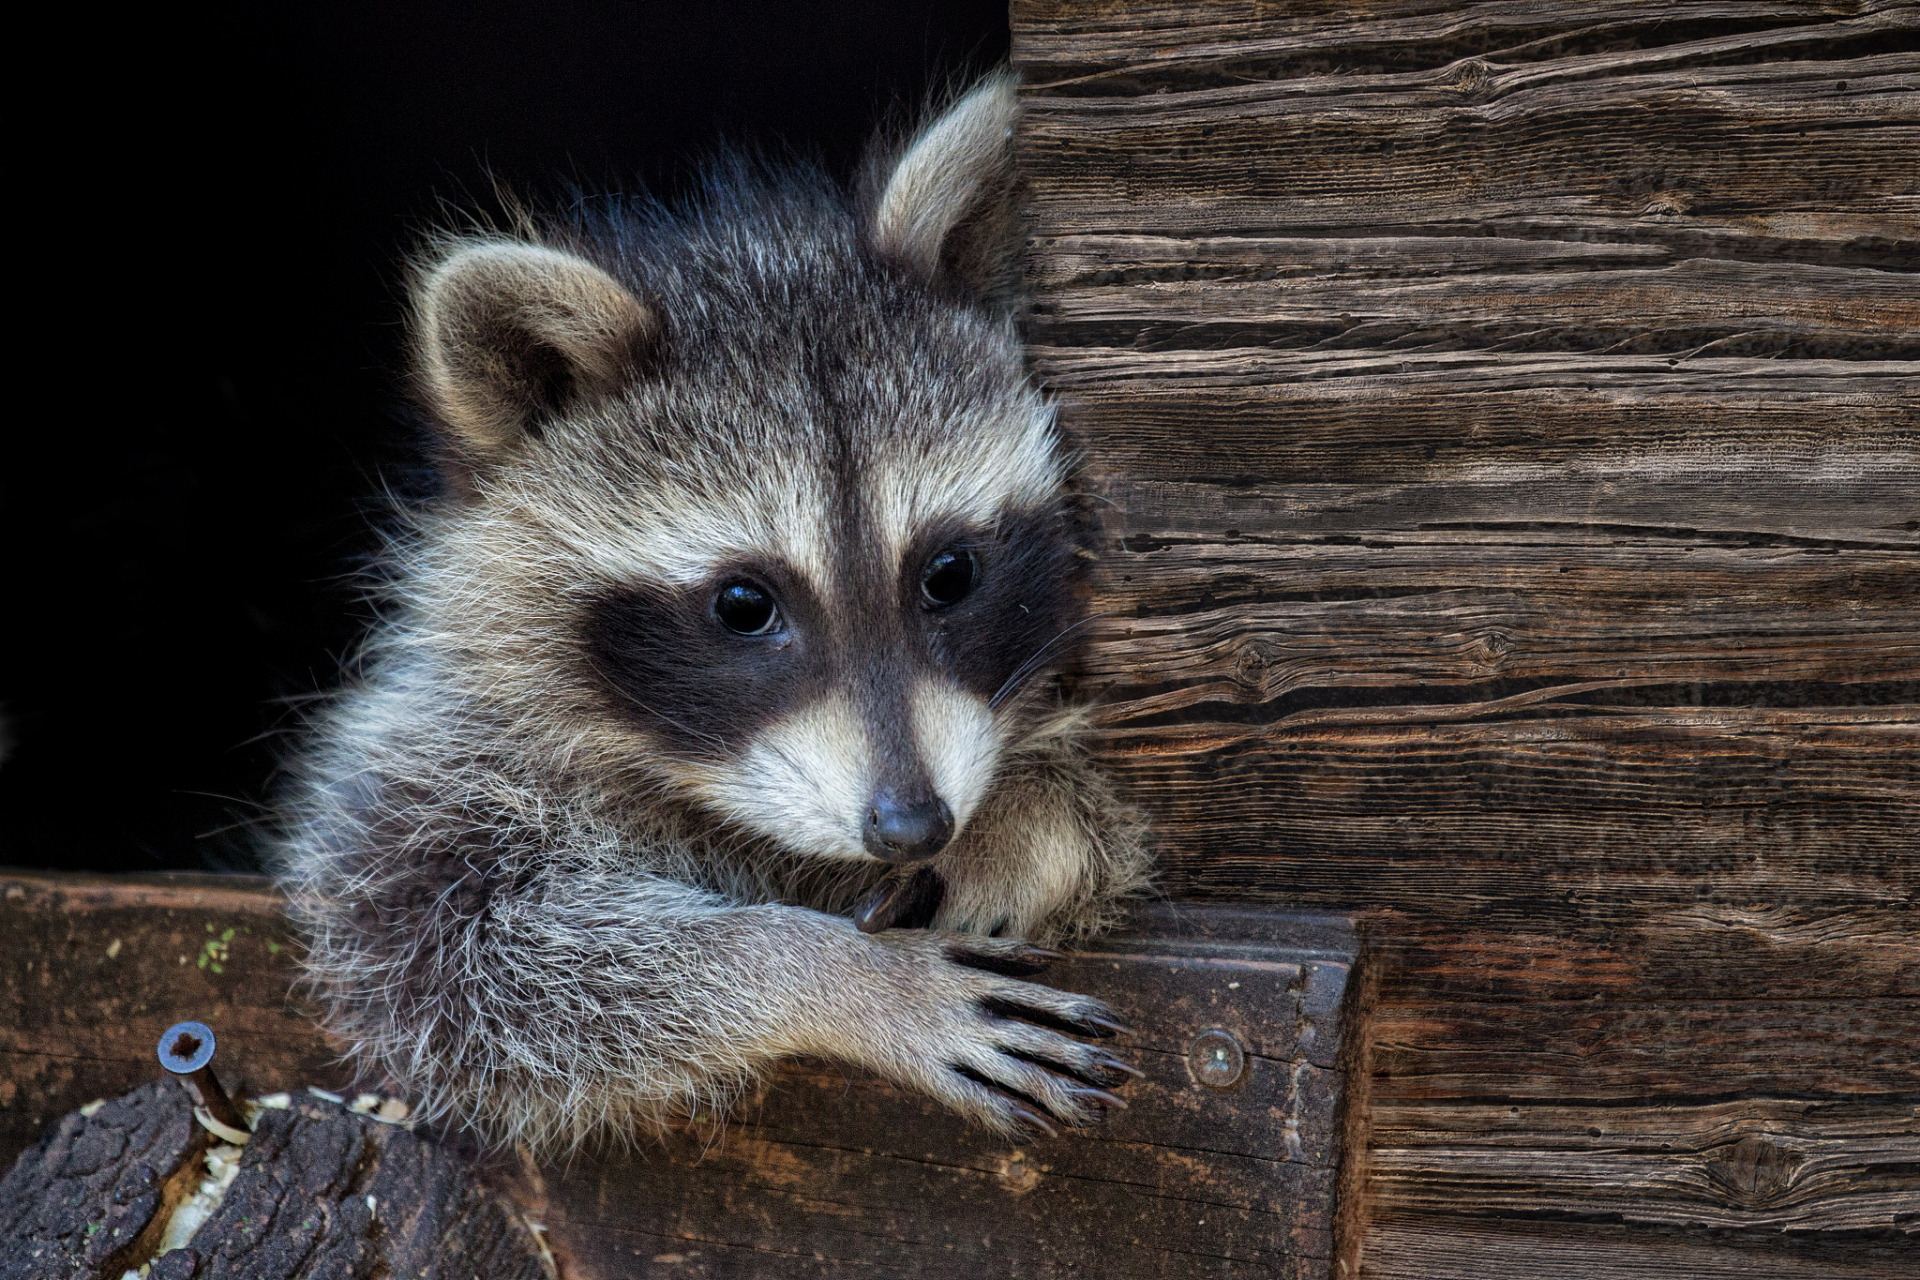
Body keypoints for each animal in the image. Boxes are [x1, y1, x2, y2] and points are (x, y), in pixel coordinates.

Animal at [280, 75, 1152, 1159]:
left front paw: (1027, 818)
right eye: (744, 604)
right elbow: (453, 965)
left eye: (949, 573)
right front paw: (834, 976)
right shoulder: (423, 766)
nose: (911, 824)